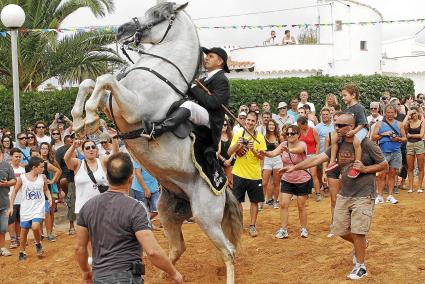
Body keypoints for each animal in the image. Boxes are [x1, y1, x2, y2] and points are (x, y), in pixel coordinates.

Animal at [70, 2, 242, 284]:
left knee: (228, 251)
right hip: (167, 213)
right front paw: (79, 122)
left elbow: (105, 78)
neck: (159, 68)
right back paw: (165, 275)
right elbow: (90, 82)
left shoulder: (133, 108)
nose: (122, 30)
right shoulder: (116, 104)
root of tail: (223, 188)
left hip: (206, 217)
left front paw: (91, 119)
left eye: (157, 15)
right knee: (177, 247)